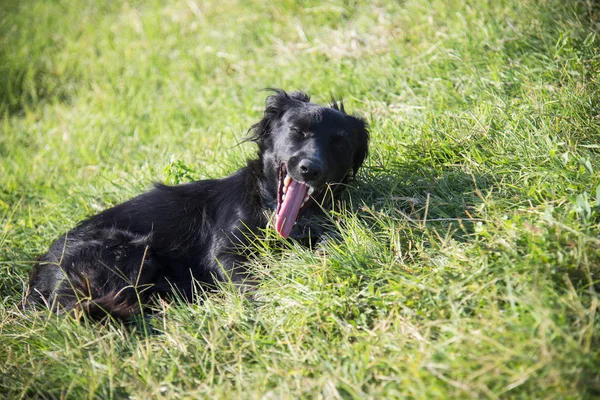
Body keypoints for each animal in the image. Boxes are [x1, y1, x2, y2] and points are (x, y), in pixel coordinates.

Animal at [23, 90, 368, 318]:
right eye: (298, 131)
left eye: (339, 143)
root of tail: (41, 277)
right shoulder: (225, 252)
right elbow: (251, 280)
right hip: (130, 250)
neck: (268, 204)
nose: (310, 168)